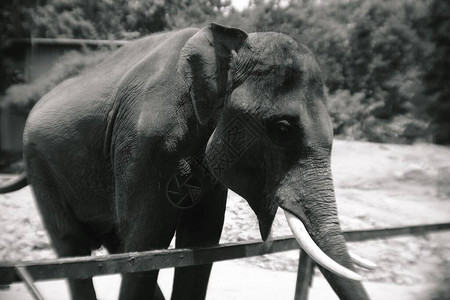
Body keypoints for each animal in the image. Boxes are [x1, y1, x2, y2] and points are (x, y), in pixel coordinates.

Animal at [0, 22, 372, 298]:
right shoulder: (146, 142)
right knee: (73, 248)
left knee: (112, 243)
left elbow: (201, 242)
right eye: (282, 129)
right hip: (40, 166)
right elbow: (145, 246)